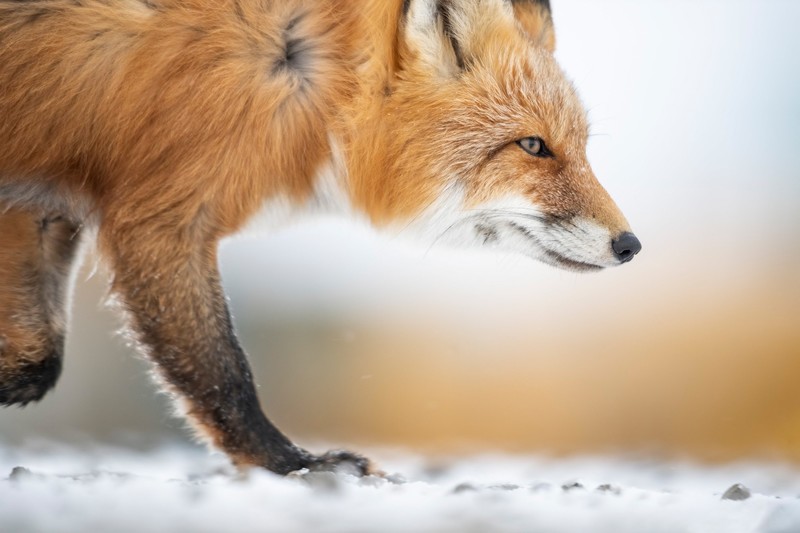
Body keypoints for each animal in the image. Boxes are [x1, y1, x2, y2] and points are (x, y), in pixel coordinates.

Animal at [0, 0, 641, 475]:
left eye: (580, 148)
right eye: (533, 146)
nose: (630, 246)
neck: (318, 79)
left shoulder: (41, 197)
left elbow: (38, 360)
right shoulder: (159, 218)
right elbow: (224, 375)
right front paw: (294, 466)